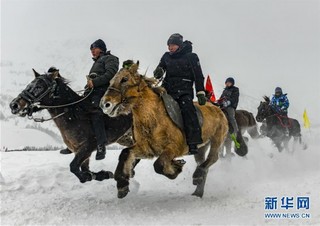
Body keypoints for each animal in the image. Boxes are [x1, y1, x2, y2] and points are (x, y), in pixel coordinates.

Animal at [100, 61, 228, 198]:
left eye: (124, 79)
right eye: (110, 81)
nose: (105, 104)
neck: (153, 118)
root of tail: (217, 107)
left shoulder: (174, 148)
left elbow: (159, 165)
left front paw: (175, 169)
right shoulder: (146, 149)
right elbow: (125, 153)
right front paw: (122, 185)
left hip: (217, 139)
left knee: (213, 158)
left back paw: (197, 176)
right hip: (202, 147)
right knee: (203, 163)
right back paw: (198, 191)